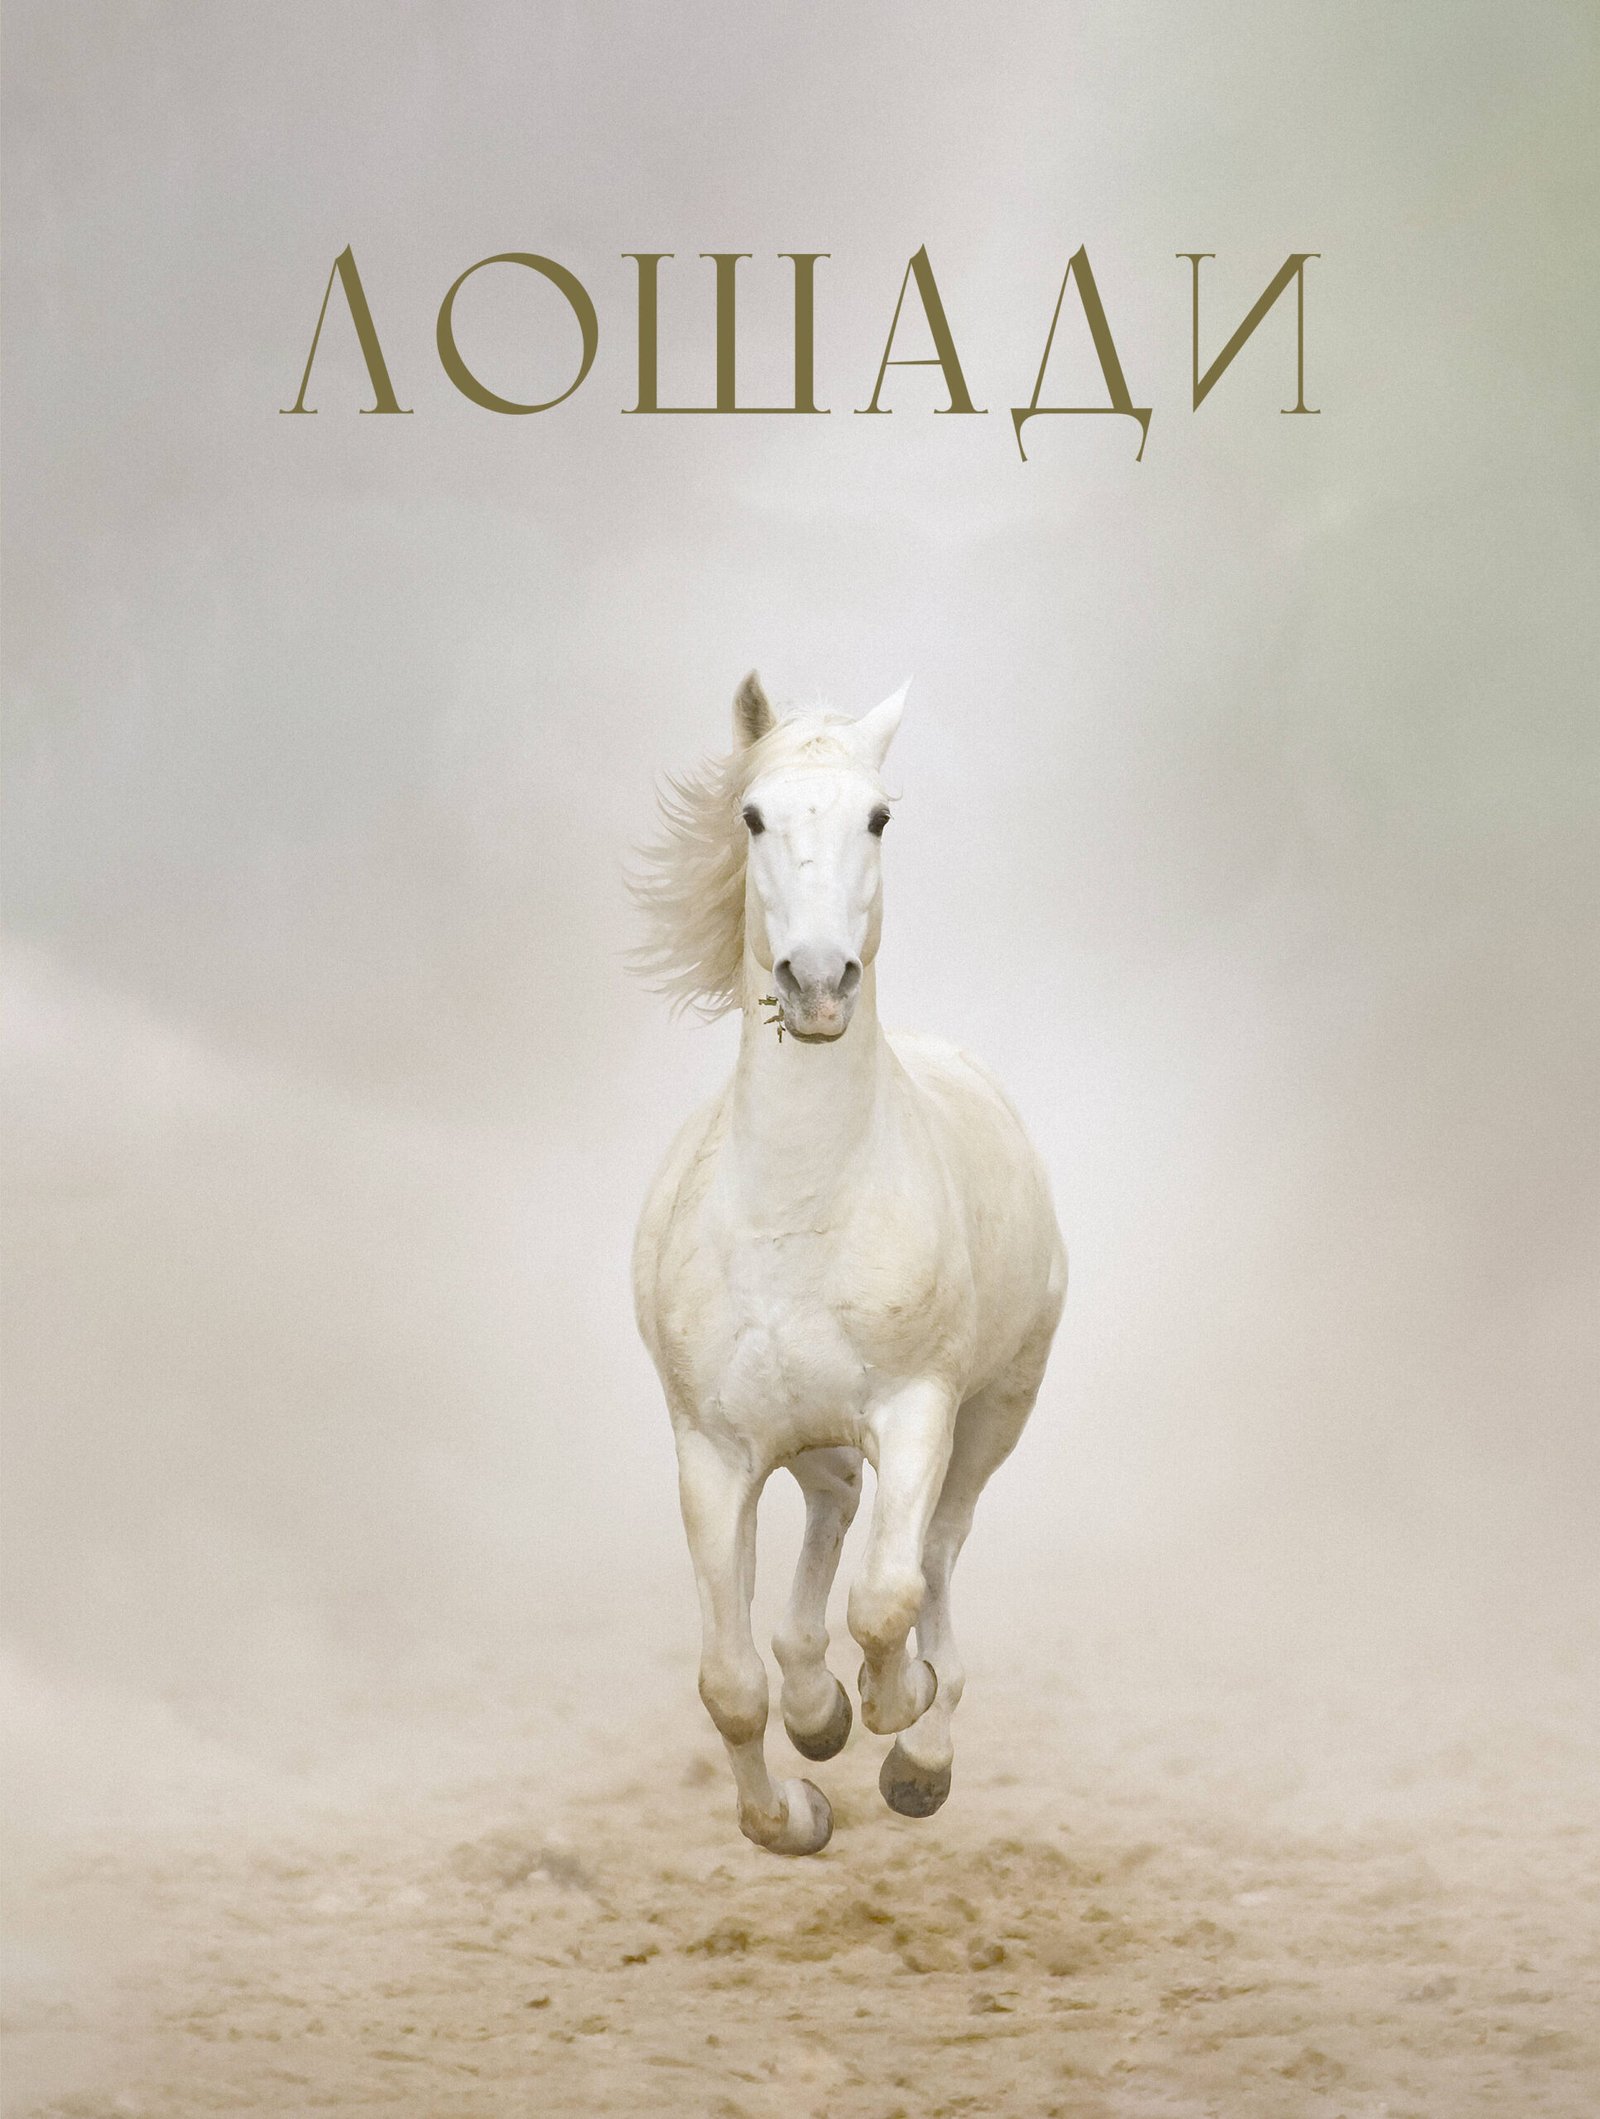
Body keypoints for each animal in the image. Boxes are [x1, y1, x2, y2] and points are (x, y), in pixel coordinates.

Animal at [631, 673, 1066, 1856]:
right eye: (752, 816)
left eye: (878, 817)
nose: (819, 982)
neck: (801, 1210)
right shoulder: (712, 1452)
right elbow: (729, 1683)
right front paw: (794, 1805)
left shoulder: (916, 1410)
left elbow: (888, 1598)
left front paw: (895, 1712)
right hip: (811, 1437)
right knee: (829, 1514)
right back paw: (818, 1705)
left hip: (994, 1414)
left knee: (938, 1554)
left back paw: (918, 1742)